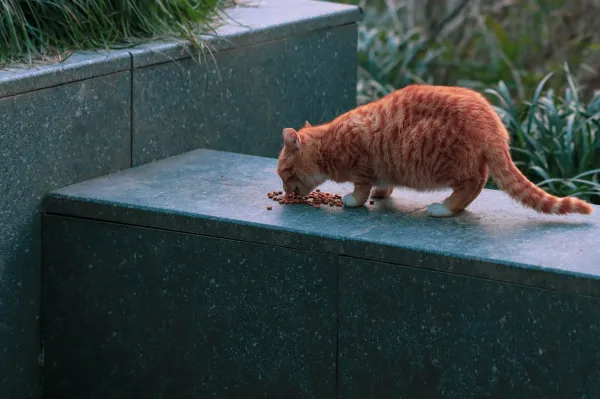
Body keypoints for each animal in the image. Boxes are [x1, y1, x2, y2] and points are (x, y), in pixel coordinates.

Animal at [278, 83, 596, 217]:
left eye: (284, 174)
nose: (284, 190)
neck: (330, 142)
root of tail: (492, 122)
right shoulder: (383, 170)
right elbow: (383, 185)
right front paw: (383, 193)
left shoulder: (361, 169)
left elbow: (360, 190)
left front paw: (354, 201)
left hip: (446, 162)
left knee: (472, 183)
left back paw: (445, 208)